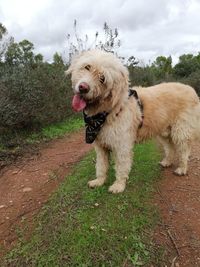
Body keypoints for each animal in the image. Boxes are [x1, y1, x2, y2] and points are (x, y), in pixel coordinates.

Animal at [67, 49, 200, 194]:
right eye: (87, 67)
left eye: (103, 78)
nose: (83, 87)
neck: (109, 110)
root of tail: (191, 90)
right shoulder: (101, 146)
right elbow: (101, 166)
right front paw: (99, 181)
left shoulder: (122, 145)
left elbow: (121, 166)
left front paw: (118, 186)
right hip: (164, 132)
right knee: (170, 147)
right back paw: (167, 162)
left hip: (181, 131)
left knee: (184, 150)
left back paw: (182, 169)